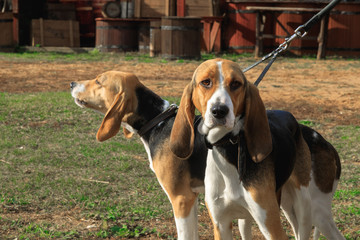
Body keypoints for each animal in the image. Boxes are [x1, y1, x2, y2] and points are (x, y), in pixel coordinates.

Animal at [170, 58, 344, 240]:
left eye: (236, 84)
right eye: (205, 82)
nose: (219, 111)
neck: (229, 147)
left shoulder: (271, 226)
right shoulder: (220, 224)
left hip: (307, 207)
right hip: (282, 206)